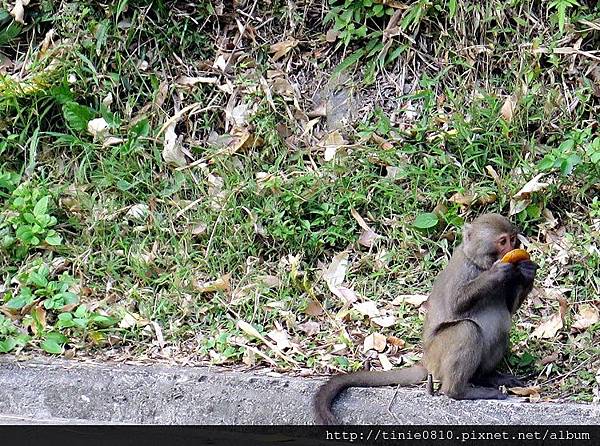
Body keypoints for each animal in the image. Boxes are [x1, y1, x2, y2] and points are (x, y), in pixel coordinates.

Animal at [314, 213, 540, 426]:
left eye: (513, 239)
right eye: (503, 241)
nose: (513, 247)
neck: (479, 264)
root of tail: (426, 360)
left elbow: (510, 308)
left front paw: (527, 271)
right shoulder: (463, 270)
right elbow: (455, 305)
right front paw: (496, 273)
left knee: (501, 331)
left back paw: (484, 377)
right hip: (438, 354)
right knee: (466, 330)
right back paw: (459, 391)